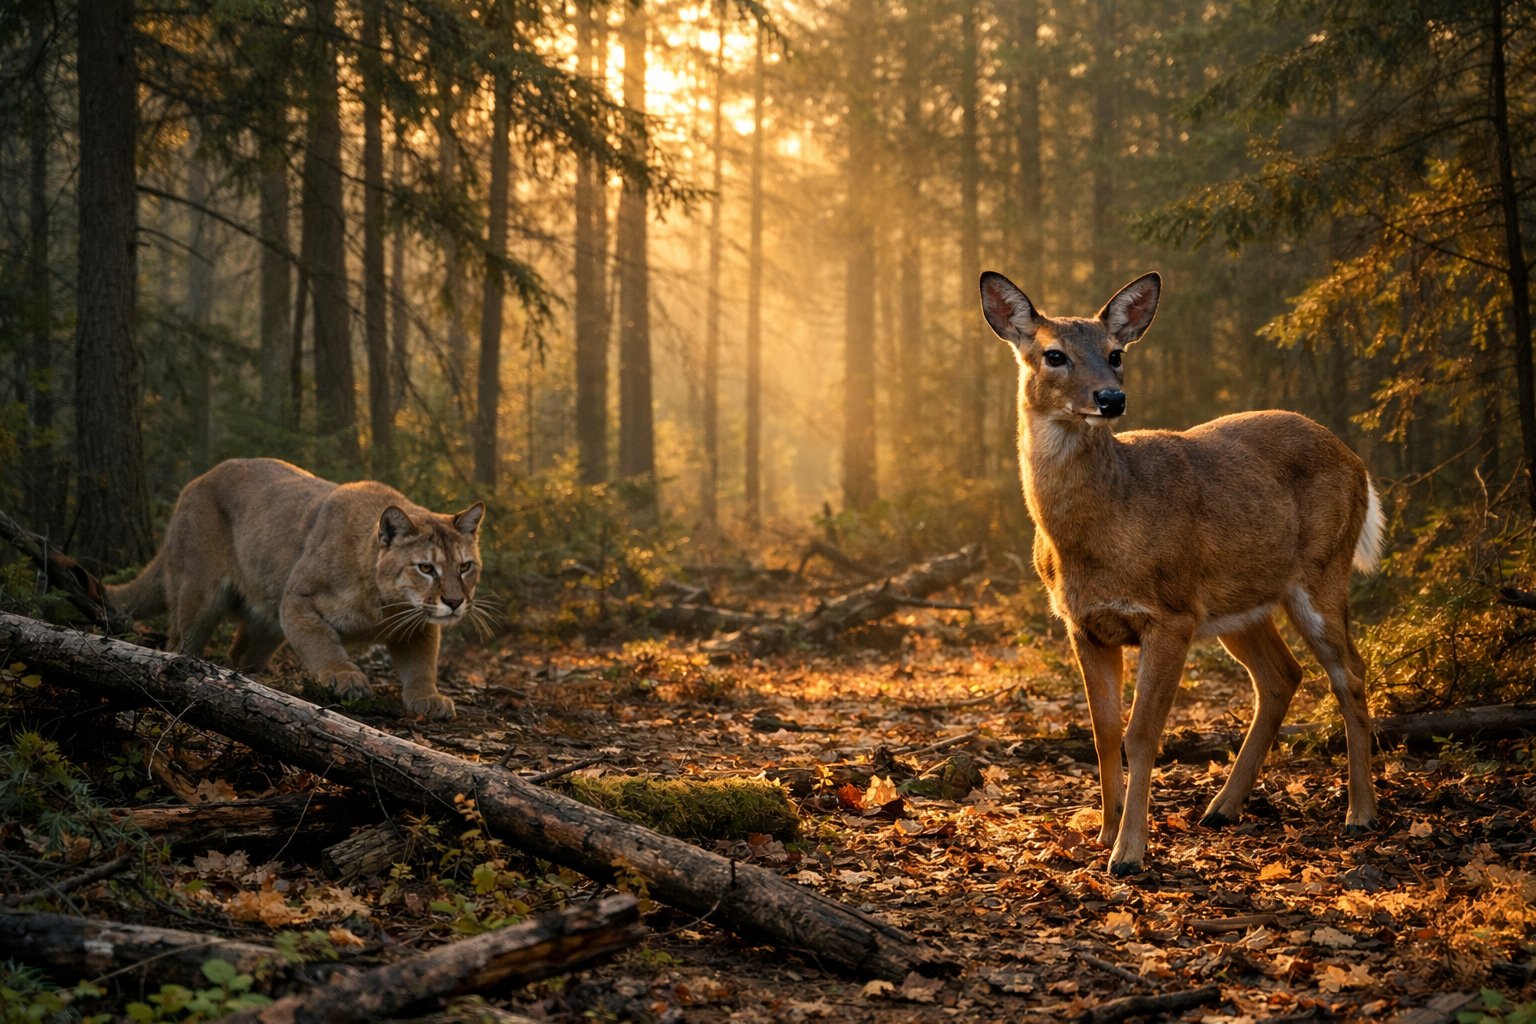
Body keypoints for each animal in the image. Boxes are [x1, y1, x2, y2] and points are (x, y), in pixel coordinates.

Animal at [978, 269, 1384, 874]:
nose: (1111, 397)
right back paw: (1222, 807)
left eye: (1116, 353)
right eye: (1053, 354)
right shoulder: (1085, 624)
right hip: (1236, 603)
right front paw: (1103, 834)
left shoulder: (1169, 616)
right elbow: (1104, 733)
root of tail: (1357, 461)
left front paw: (1129, 852)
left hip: (1320, 572)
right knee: (1282, 675)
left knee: (1350, 672)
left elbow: (1143, 734)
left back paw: (1360, 812)